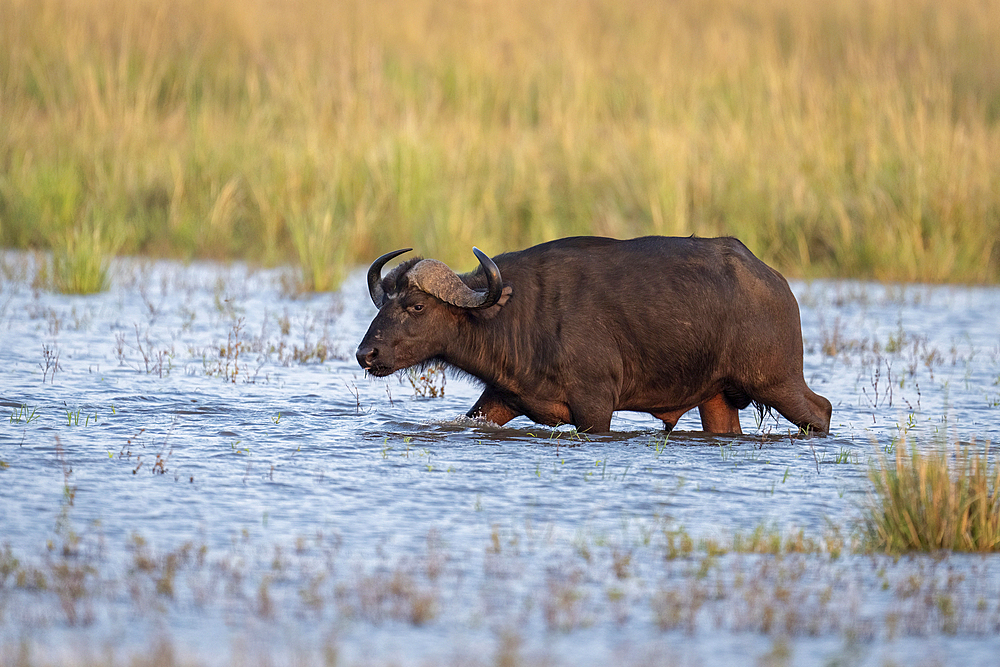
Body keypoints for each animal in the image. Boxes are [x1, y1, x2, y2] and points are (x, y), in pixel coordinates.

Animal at [356, 237, 832, 436]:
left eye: (416, 306)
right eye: (383, 303)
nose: (366, 354)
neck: (513, 314)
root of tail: (776, 283)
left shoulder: (596, 407)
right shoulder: (500, 399)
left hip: (777, 381)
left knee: (822, 410)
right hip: (715, 397)